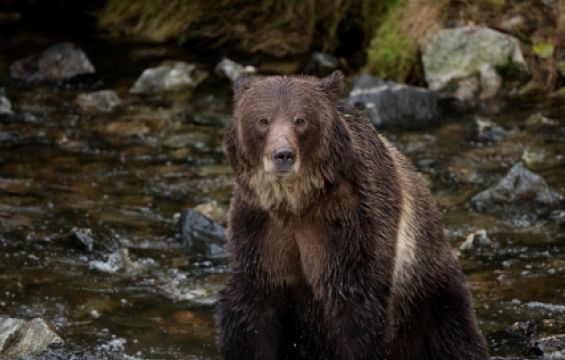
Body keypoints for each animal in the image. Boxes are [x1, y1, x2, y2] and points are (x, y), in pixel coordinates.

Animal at [215, 71, 484, 360]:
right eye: (263, 120)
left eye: (301, 120)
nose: (283, 155)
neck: (296, 204)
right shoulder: (259, 224)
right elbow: (253, 304)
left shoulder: (351, 220)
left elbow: (355, 303)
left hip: (427, 289)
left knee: (451, 332)